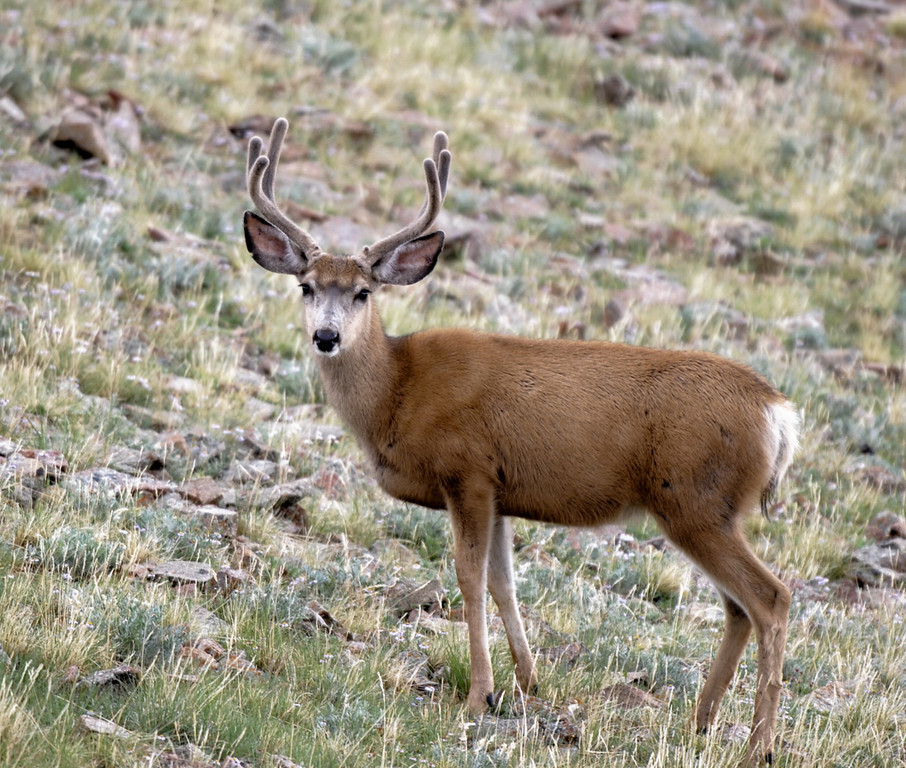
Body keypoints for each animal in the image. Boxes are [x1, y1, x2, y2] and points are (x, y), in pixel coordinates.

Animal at [242, 117, 800, 764]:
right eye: (306, 287)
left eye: (363, 292)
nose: (327, 337)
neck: (397, 392)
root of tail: (778, 413)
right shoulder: (501, 492)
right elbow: (503, 583)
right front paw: (528, 681)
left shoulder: (467, 470)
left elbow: (469, 579)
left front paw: (479, 695)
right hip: (706, 507)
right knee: (737, 607)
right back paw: (700, 723)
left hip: (694, 499)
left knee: (770, 598)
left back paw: (760, 743)